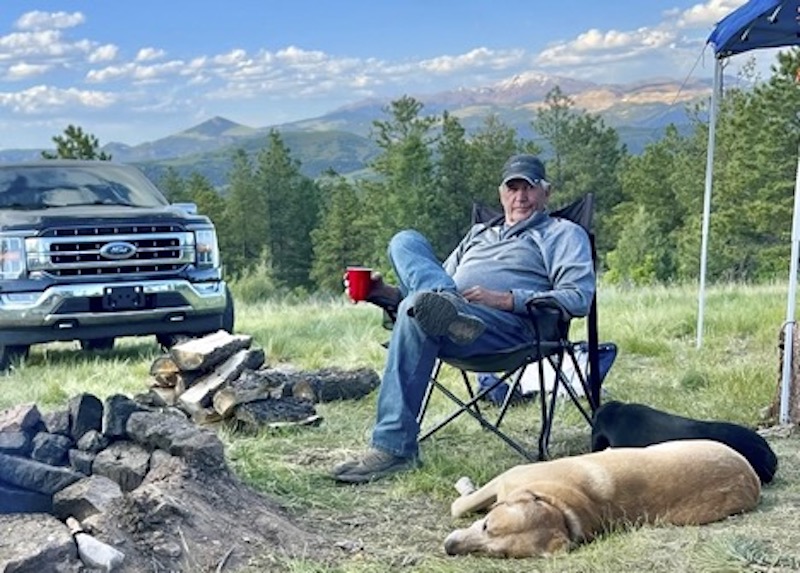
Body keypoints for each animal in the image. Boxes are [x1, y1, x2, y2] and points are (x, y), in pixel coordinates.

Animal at [446, 440, 760, 556]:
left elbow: (458, 506)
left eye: (497, 554)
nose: (450, 548)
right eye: (486, 525)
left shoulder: (506, 477)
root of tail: (752, 478)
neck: (562, 509)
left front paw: (464, 485)